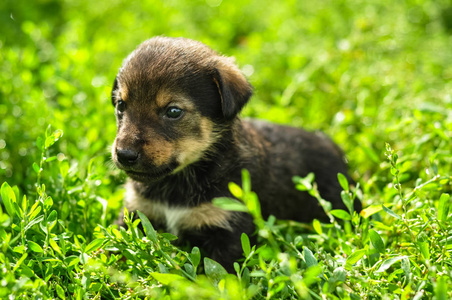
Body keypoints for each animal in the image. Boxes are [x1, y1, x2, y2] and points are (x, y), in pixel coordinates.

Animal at [111, 36, 362, 270]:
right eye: (121, 105)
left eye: (173, 111)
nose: (124, 154)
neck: (180, 181)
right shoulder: (135, 214)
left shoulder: (228, 230)